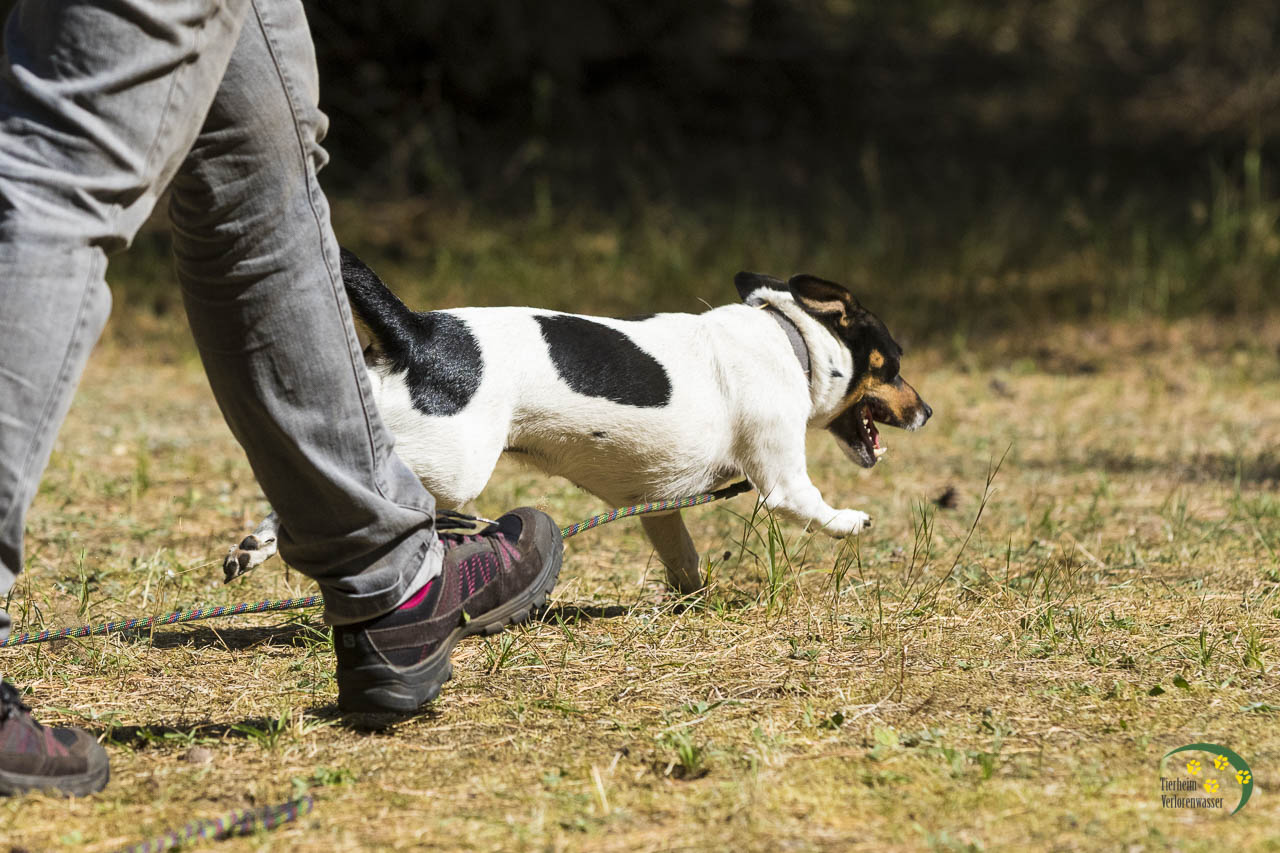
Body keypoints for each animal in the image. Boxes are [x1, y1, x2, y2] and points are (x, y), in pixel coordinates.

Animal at [223, 249, 932, 593]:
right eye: (895, 364)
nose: (926, 411)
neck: (791, 338)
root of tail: (418, 332)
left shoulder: (659, 506)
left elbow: (682, 558)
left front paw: (694, 597)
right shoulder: (782, 478)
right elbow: (811, 507)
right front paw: (852, 522)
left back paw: (253, 548)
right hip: (455, 470)